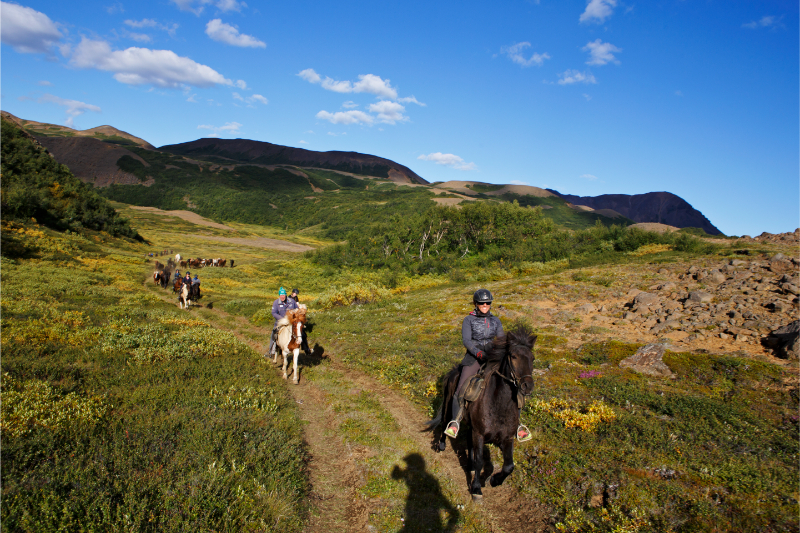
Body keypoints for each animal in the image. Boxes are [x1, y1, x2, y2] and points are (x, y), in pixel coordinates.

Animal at [424, 322, 536, 500]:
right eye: (513, 356)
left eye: (532, 358)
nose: (527, 386)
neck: (499, 405)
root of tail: (455, 370)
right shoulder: (480, 434)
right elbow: (480, 461)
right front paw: (476, 488)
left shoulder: (506, 438)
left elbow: (509, 465)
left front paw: (495, 480)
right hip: (449, 405)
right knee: (444, 423)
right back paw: (441, 444)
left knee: (470, 443)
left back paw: (469, 465)